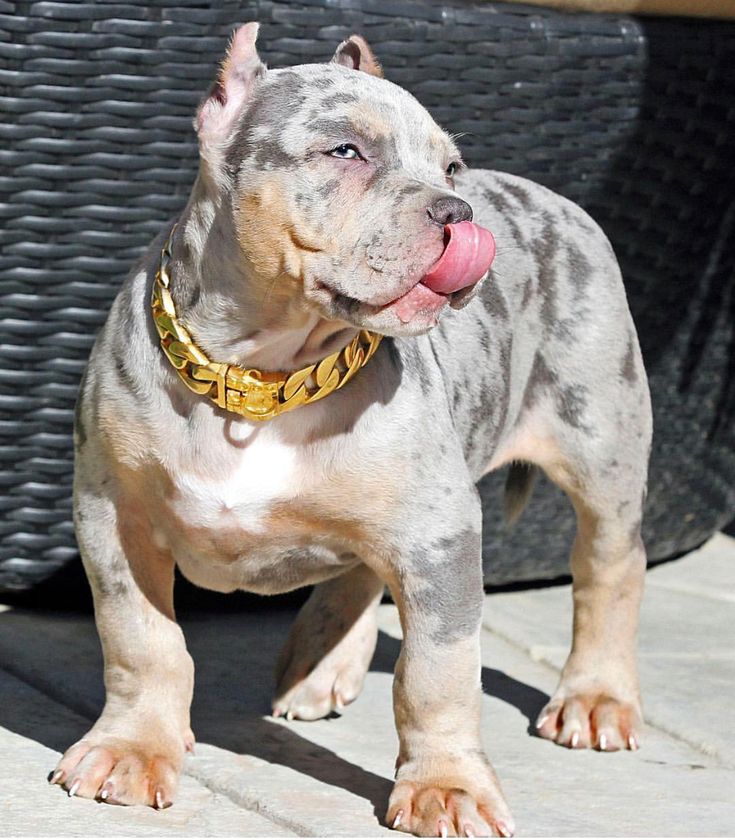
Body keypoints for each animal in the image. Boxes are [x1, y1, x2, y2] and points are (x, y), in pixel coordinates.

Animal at [49, 23, 652, 836]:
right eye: (346, 152)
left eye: (450, 166)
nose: (458, 210)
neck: (264, 373)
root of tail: (553, 198)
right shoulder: (115, 514)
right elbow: (141, 639)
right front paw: (133, 747)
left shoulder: (440, 535)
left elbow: (436, 673)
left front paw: (446, 785)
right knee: (362, 564)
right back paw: (320, 660)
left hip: (600, 444)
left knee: (607, 566)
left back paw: (595, 696)